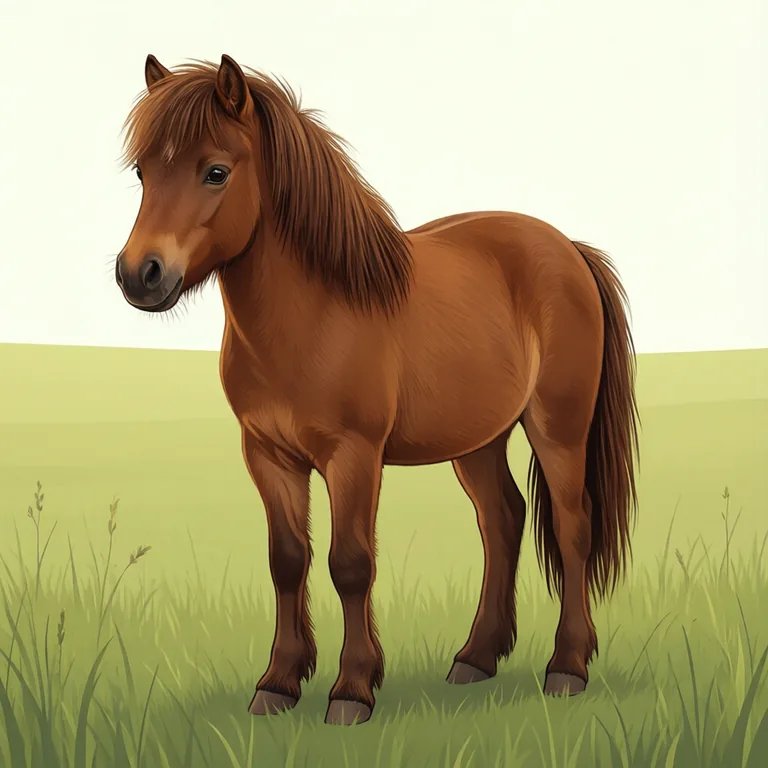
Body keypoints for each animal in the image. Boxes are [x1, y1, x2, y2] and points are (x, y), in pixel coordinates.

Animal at [114, 53, 640, 726]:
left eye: (215, 172)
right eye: (143, 171)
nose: (140, 274)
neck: (313, 315)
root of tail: (568, 248)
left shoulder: (354, 456)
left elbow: (351, 564)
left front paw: (352, 690)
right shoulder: (267, 455)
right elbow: (287, 560)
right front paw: (278, 684)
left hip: (559, 428)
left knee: (573, 527)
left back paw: (567, 668)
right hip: (478, 438)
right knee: (502, 520)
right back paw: (476, 658)